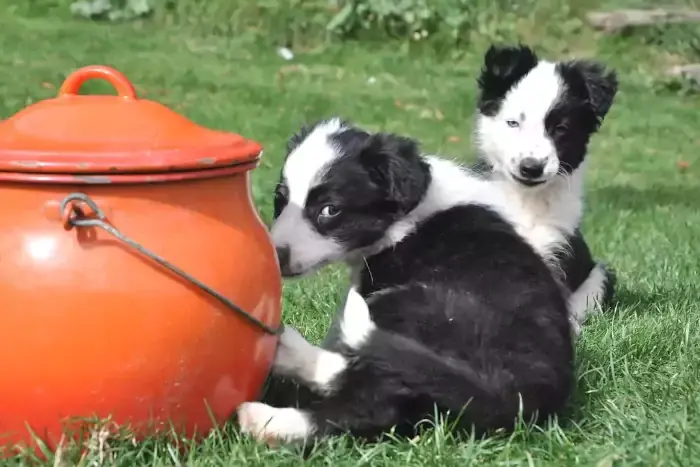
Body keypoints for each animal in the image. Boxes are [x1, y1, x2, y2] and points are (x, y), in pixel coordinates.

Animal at [237, 118, 576, 446]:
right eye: (280, 199)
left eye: (330, 210)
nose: (276, 256)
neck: (406, 215)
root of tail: (512, 398)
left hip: (410, 304)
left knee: (375, 397)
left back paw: (272, 404)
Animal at [476, 45, 616, 334]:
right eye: (513, 123)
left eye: (561, 128)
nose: (531, 168)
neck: (527, 199)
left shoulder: (558, 248)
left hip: (599, 275)